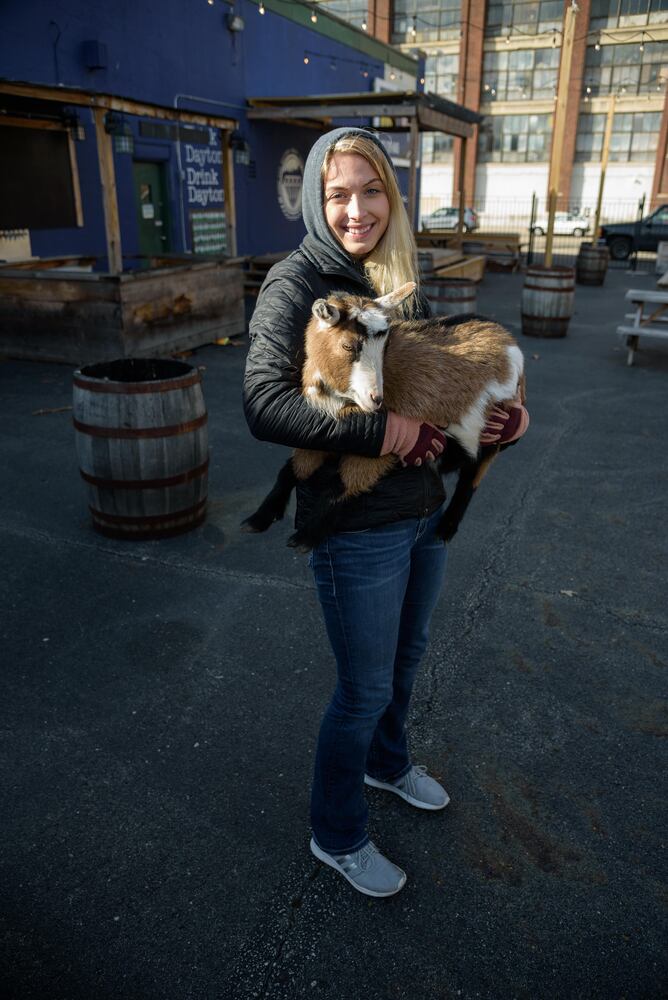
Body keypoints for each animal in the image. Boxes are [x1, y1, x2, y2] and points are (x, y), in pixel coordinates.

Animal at [243, 280, 524, 548]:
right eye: (348, 345)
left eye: (385, 346)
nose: (375, 399)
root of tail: (508, 338)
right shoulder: (322, 433)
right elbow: (291, 469)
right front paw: (260, 517)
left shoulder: (384, 447)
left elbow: (340, 486)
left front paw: (305, 536)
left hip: (494, 428)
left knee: (470, 479)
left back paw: (446, 528)